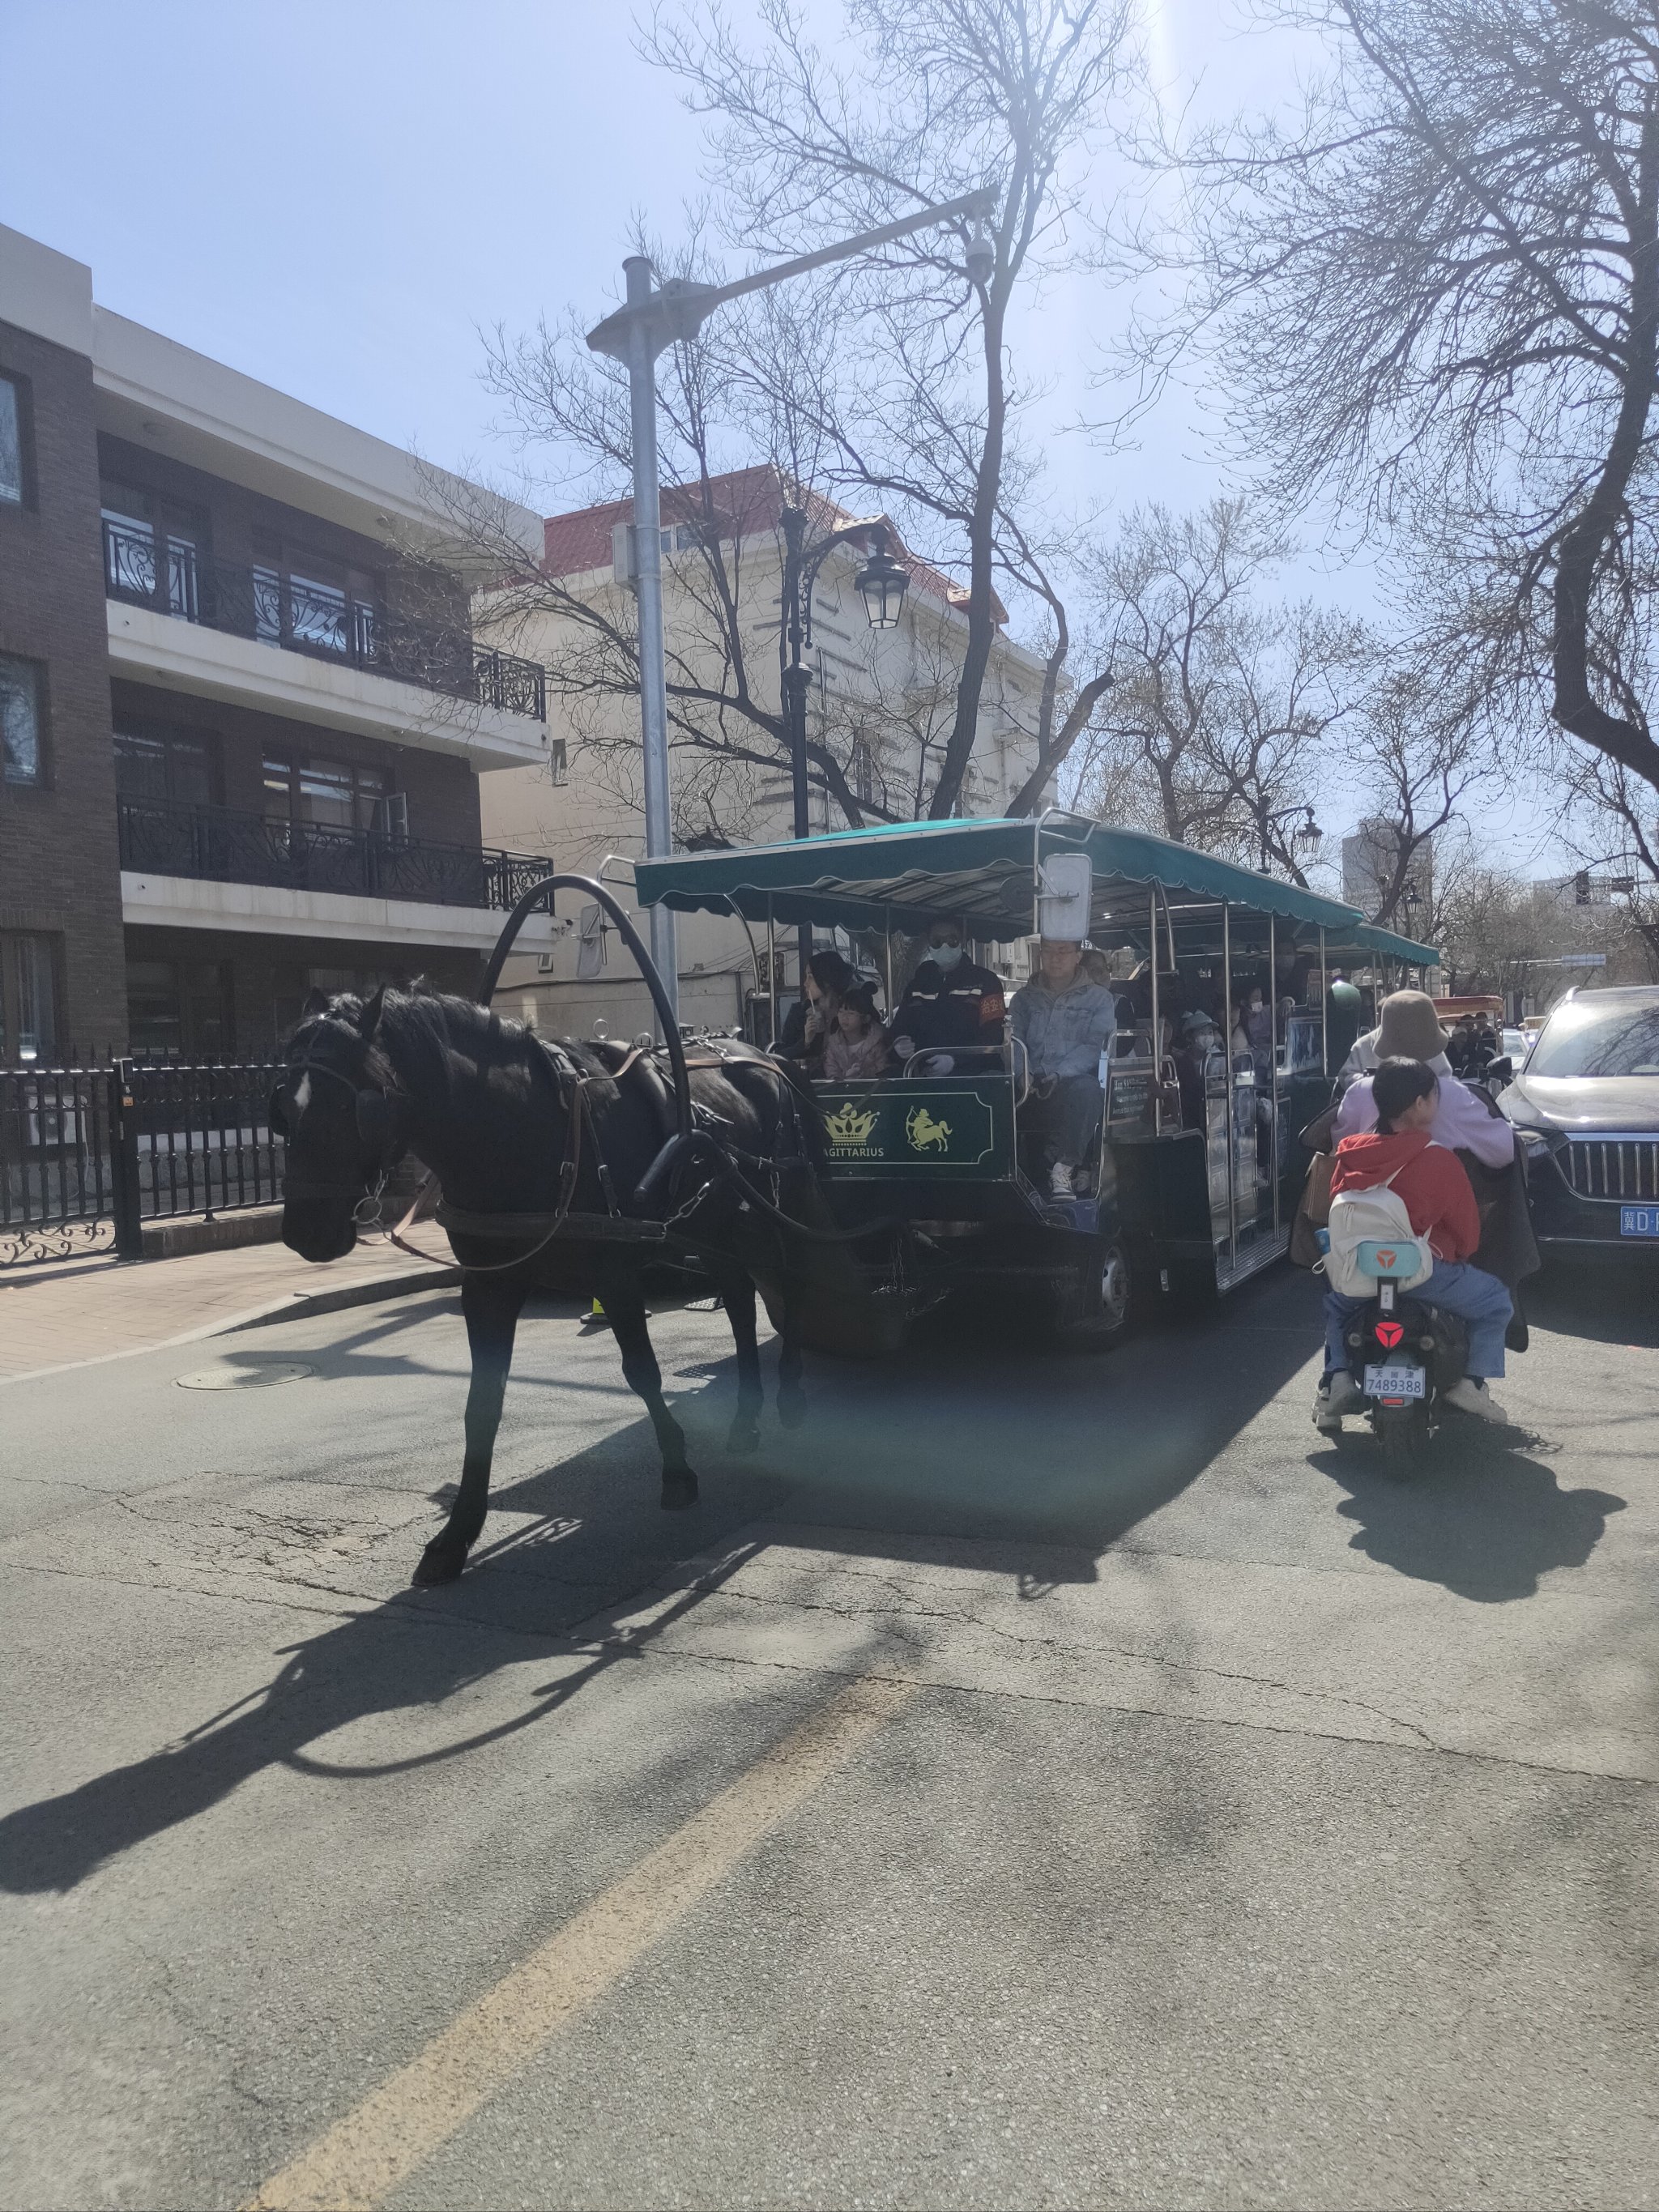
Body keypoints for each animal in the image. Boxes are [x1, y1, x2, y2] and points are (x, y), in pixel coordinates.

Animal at [279, 987, 836, 1592]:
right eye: (281, 1106)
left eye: (353, 1108)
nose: (303, 1234)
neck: (524, 1131)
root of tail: (764, 1056)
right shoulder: (489, 1286)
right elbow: (482, 1402)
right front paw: (456, 1536)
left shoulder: (615, 1275)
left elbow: (643, 1372)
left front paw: (677, 1469)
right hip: (710, 1225)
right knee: (737, 1296)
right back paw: (745, 1416)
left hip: (774, 1209)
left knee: (790, 1283)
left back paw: (789, 1395)